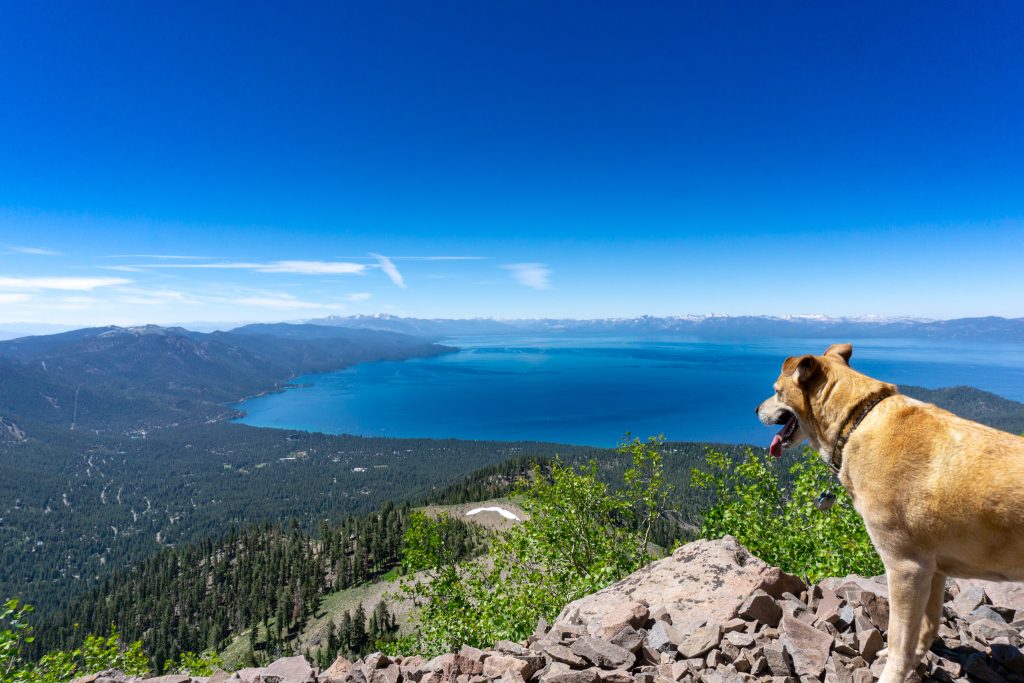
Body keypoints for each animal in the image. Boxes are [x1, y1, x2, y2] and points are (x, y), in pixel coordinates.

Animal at [753, 344, 1024, 679]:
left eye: (776, 390)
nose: (755, 409)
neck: (854, 422)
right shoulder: (934, 570)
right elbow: (926, 629)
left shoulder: (905, 567)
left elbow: (899, 638)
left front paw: (892, 674)